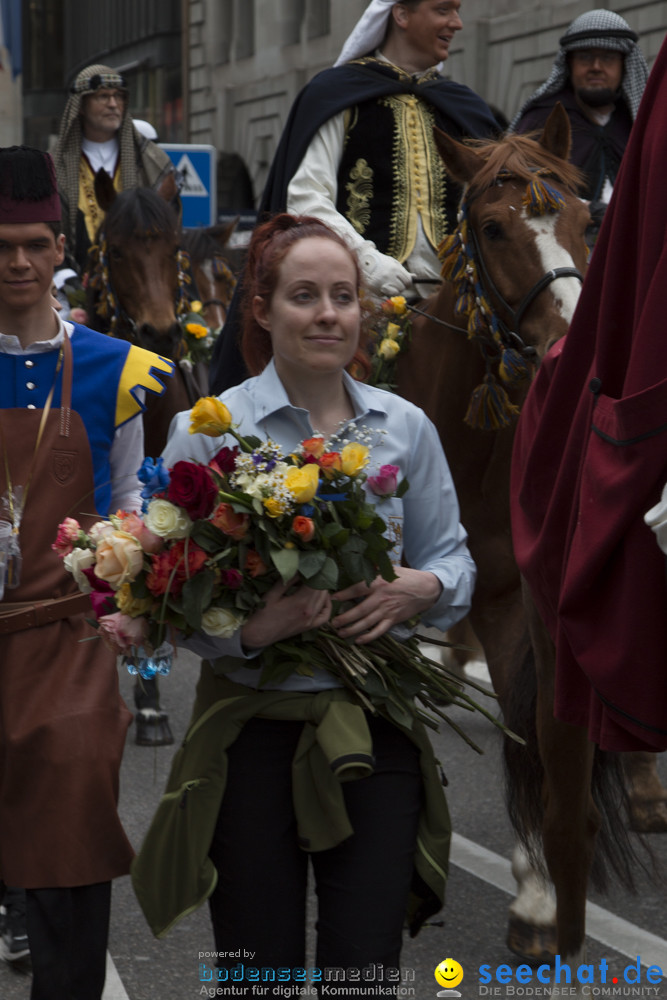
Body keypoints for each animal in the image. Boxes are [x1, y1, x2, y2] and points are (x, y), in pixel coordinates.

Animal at [396, 107, 652, 968]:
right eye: (493, 226)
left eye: (584, 219)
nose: (574, 345)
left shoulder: (516, 599)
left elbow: (527, 723)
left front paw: (538, 890)